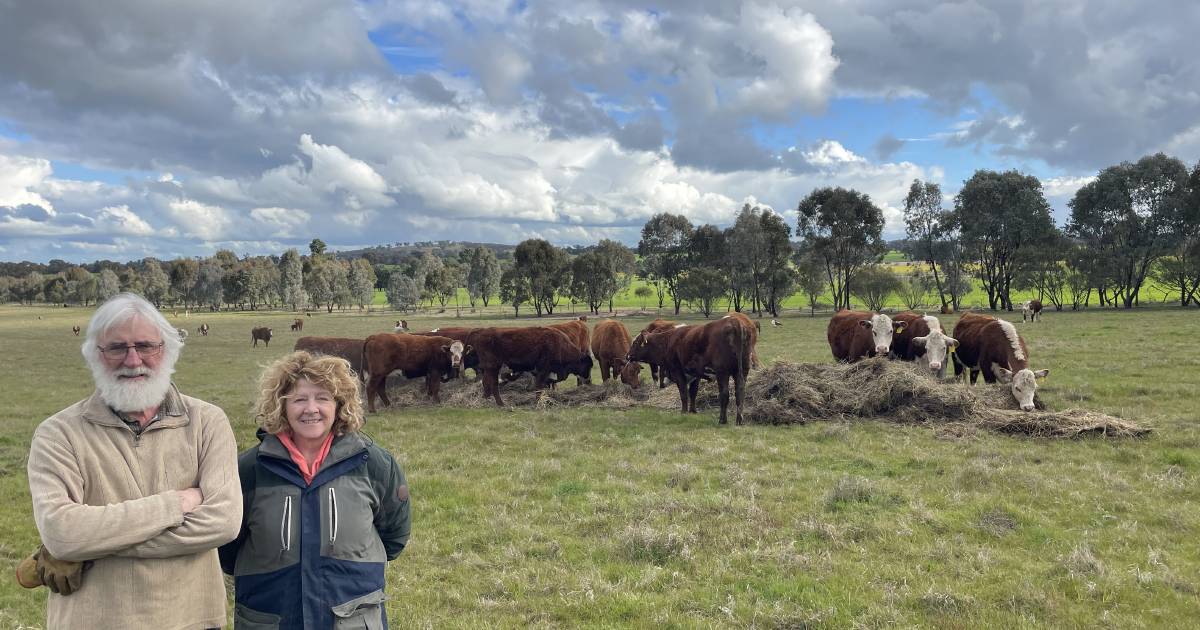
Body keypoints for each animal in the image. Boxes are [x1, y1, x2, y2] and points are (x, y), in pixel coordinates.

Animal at [460, 326, 592, 405]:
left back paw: (486, 401)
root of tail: (480, 331)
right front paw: (537, 402)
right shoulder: (543, 369)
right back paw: (501, 404)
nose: (587, 378)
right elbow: (539, 386)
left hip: (489, 368)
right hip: (493, 367)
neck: (560, 345)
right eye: (588, 365)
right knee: (493, 384)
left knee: (486, 383)